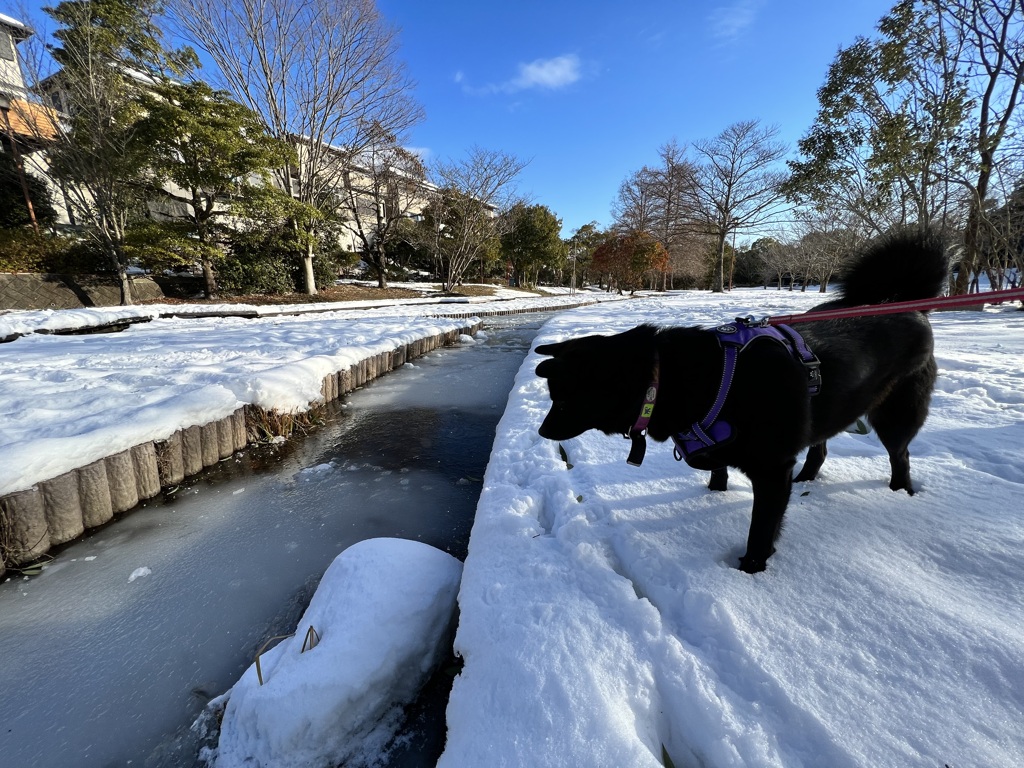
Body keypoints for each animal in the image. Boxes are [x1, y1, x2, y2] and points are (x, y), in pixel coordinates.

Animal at [540, 237, 946, 573]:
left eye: (564, 400)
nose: (542, 431)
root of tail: (903, 303)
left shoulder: (772, 470)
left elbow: (761, 527)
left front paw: (751, 568)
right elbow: (718, 472)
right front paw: (714, 494)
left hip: (895, 414)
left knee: (900, 455)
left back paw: (900, 492)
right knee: (820, 447)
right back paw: (807, 478)